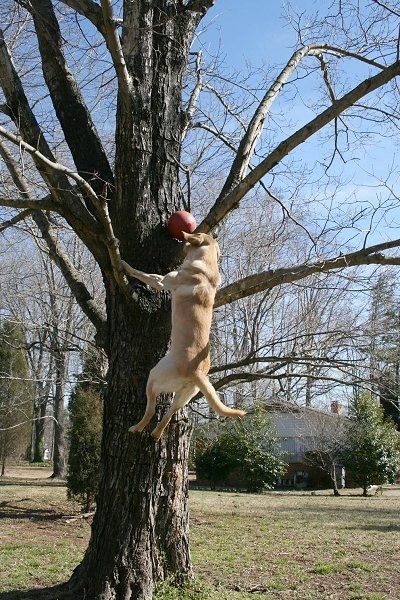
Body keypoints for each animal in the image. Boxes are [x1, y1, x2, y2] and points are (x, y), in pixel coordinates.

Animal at [122, 231, 247, 440]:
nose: (181, 242)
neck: (206, 266)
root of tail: (195, 371)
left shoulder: (162, 281)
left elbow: (141, 273)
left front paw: (125, 265)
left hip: (154, 377)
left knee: (152, 409)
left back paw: (137, 428)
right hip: (183, 397)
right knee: (168, 414)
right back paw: (156, 433)